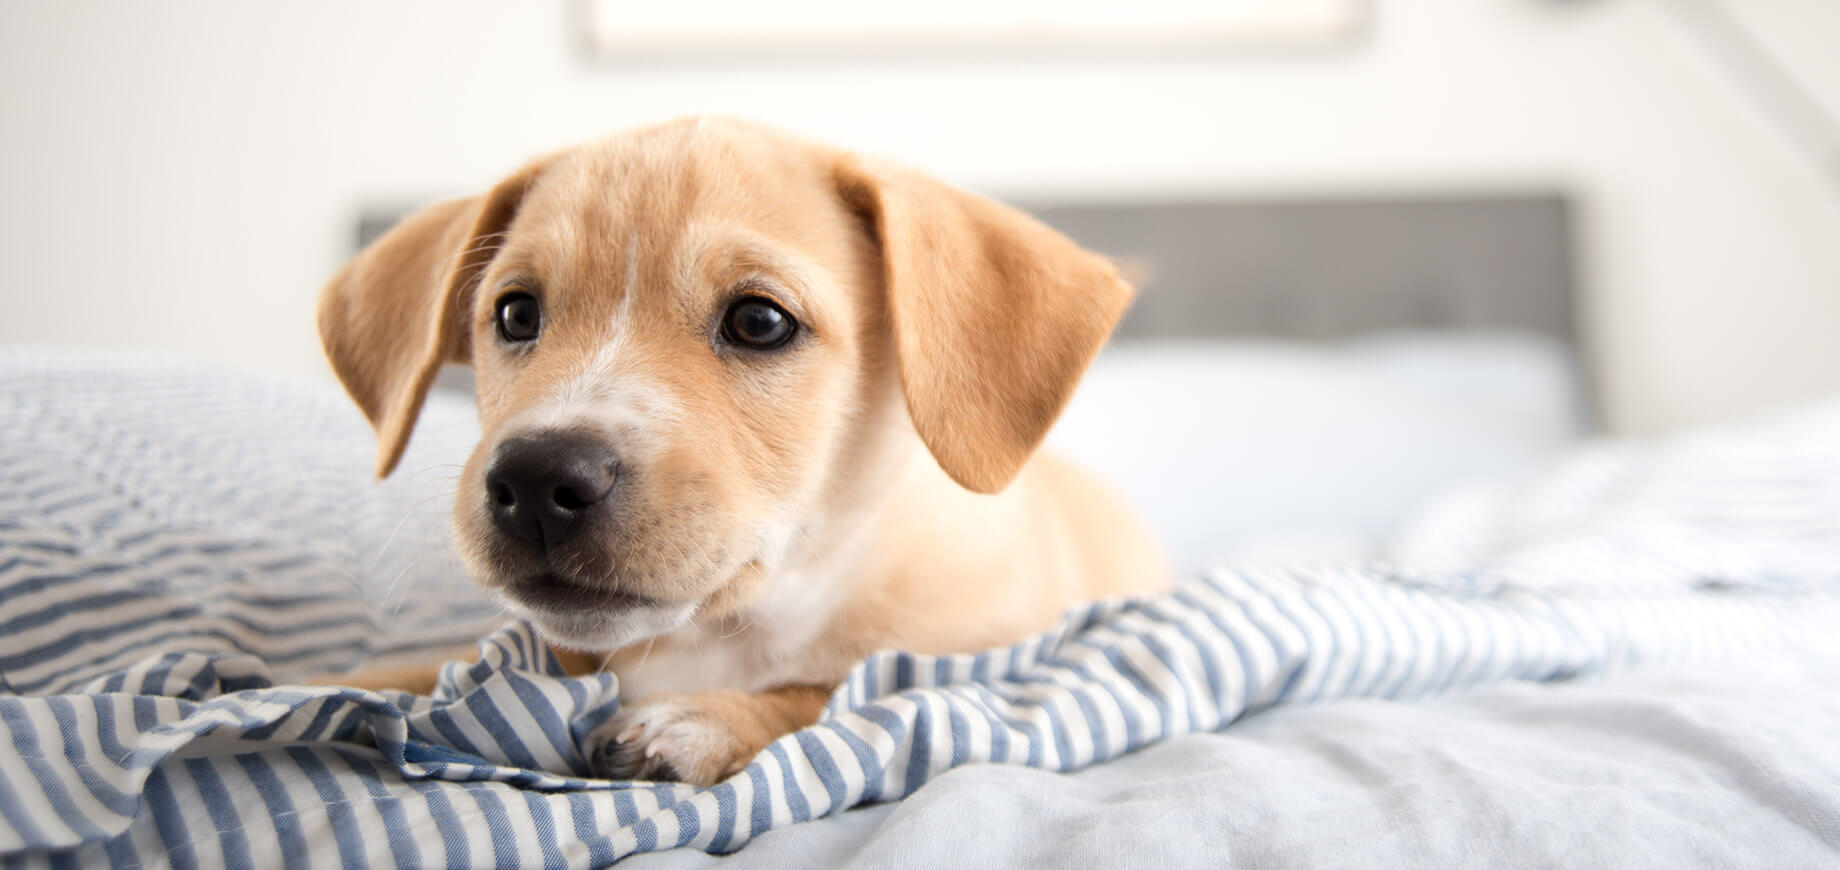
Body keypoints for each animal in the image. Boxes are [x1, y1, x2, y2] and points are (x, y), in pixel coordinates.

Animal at [316, 118, 1162, 783]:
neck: (732, 628)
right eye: (516, 314)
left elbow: (854, 691)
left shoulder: (1009, 663)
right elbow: (404, 672)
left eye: (760, 321)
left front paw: (703, 721)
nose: (535, 477)